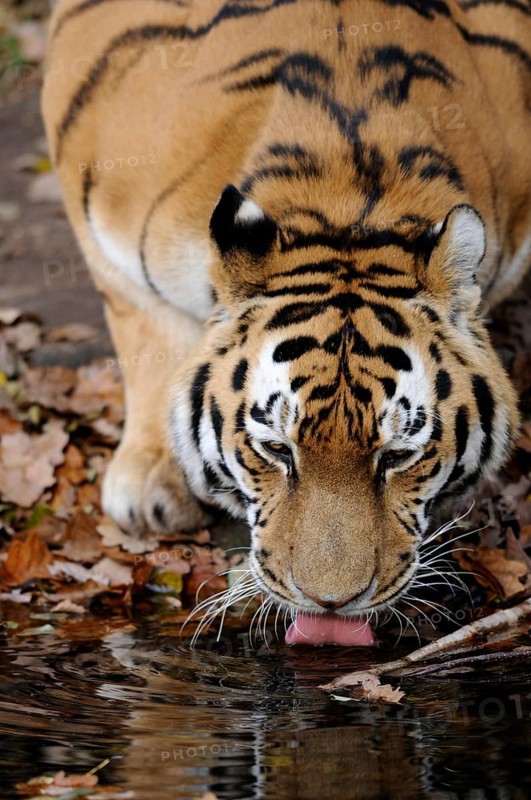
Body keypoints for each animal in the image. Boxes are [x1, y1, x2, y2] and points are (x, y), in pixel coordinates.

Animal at [42, 0, 530, 645]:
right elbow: (143, 331)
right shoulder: (101, 217)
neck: (349, 202)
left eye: (399, 456)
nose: (332, 604)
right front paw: (150, 489)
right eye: (275, 451)